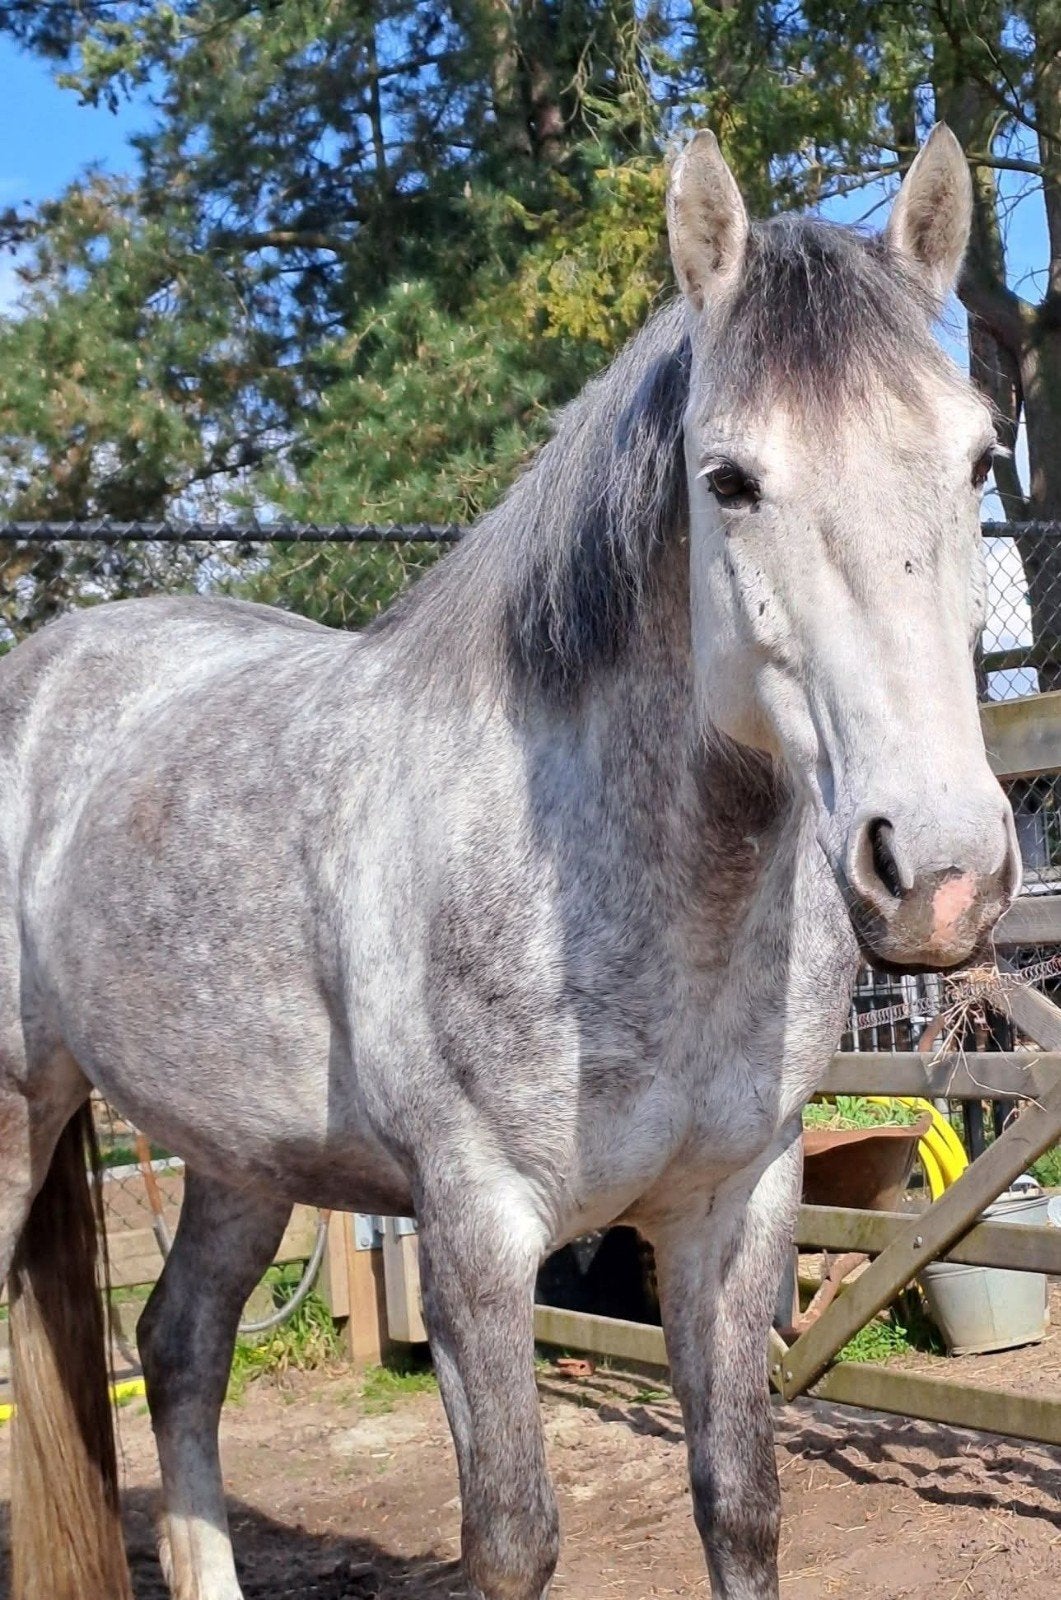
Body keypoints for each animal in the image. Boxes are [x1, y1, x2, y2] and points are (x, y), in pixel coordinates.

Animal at [0, 124, 1018, 1600]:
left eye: (980, 459)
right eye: (728, 480)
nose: (939, 870)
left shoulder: (734, 1204)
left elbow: (741, 1504)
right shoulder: (476, 1233)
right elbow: (514, 1538)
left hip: (236, 1155)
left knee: (180, 1350)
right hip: (24, 1110)